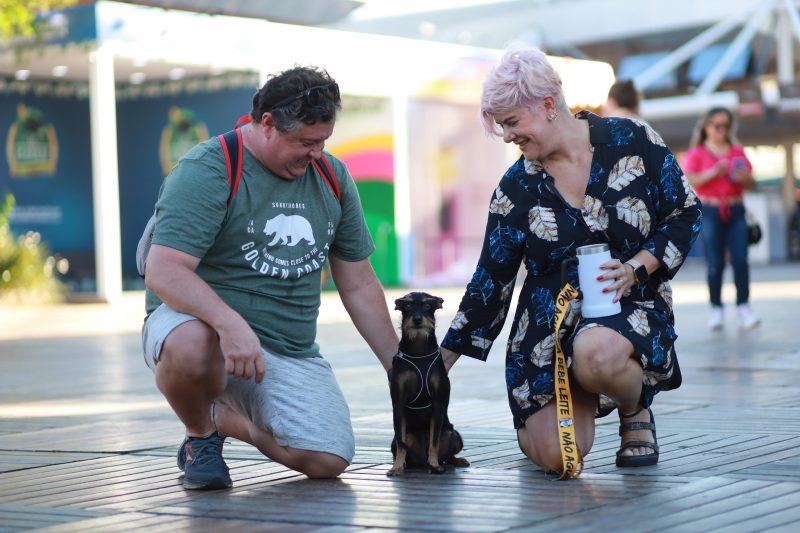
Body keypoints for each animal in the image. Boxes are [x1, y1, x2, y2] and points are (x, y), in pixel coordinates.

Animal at [388, 294, 468, 476]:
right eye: (407, 305)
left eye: (427, 305)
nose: (417, 320)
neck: (419, 349)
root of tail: (421, 459)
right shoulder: (398, 404)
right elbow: (402, 444)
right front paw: (397, 467)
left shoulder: (438, 404)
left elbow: (434, 442)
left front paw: (434, 465)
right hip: (398, 441)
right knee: (403, 448)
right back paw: (405, 464)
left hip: (453, 434)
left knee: (447, 455)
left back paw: (452, 461)